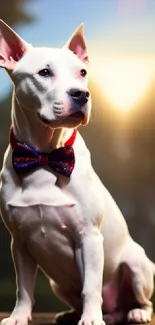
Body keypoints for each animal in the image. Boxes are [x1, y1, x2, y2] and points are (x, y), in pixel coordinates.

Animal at [0, 20, 154, 324]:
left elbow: (91, 286)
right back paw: (72, 313)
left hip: (137, 265)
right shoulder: (19, 243)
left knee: (144, 300)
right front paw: (18, 316)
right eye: (44, 72)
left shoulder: (89, 237)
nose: (81, 94)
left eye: (82, 73)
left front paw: (91, 318)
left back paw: (135, 312)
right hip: (57, 283)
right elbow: (24, 288)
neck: (45, 156)